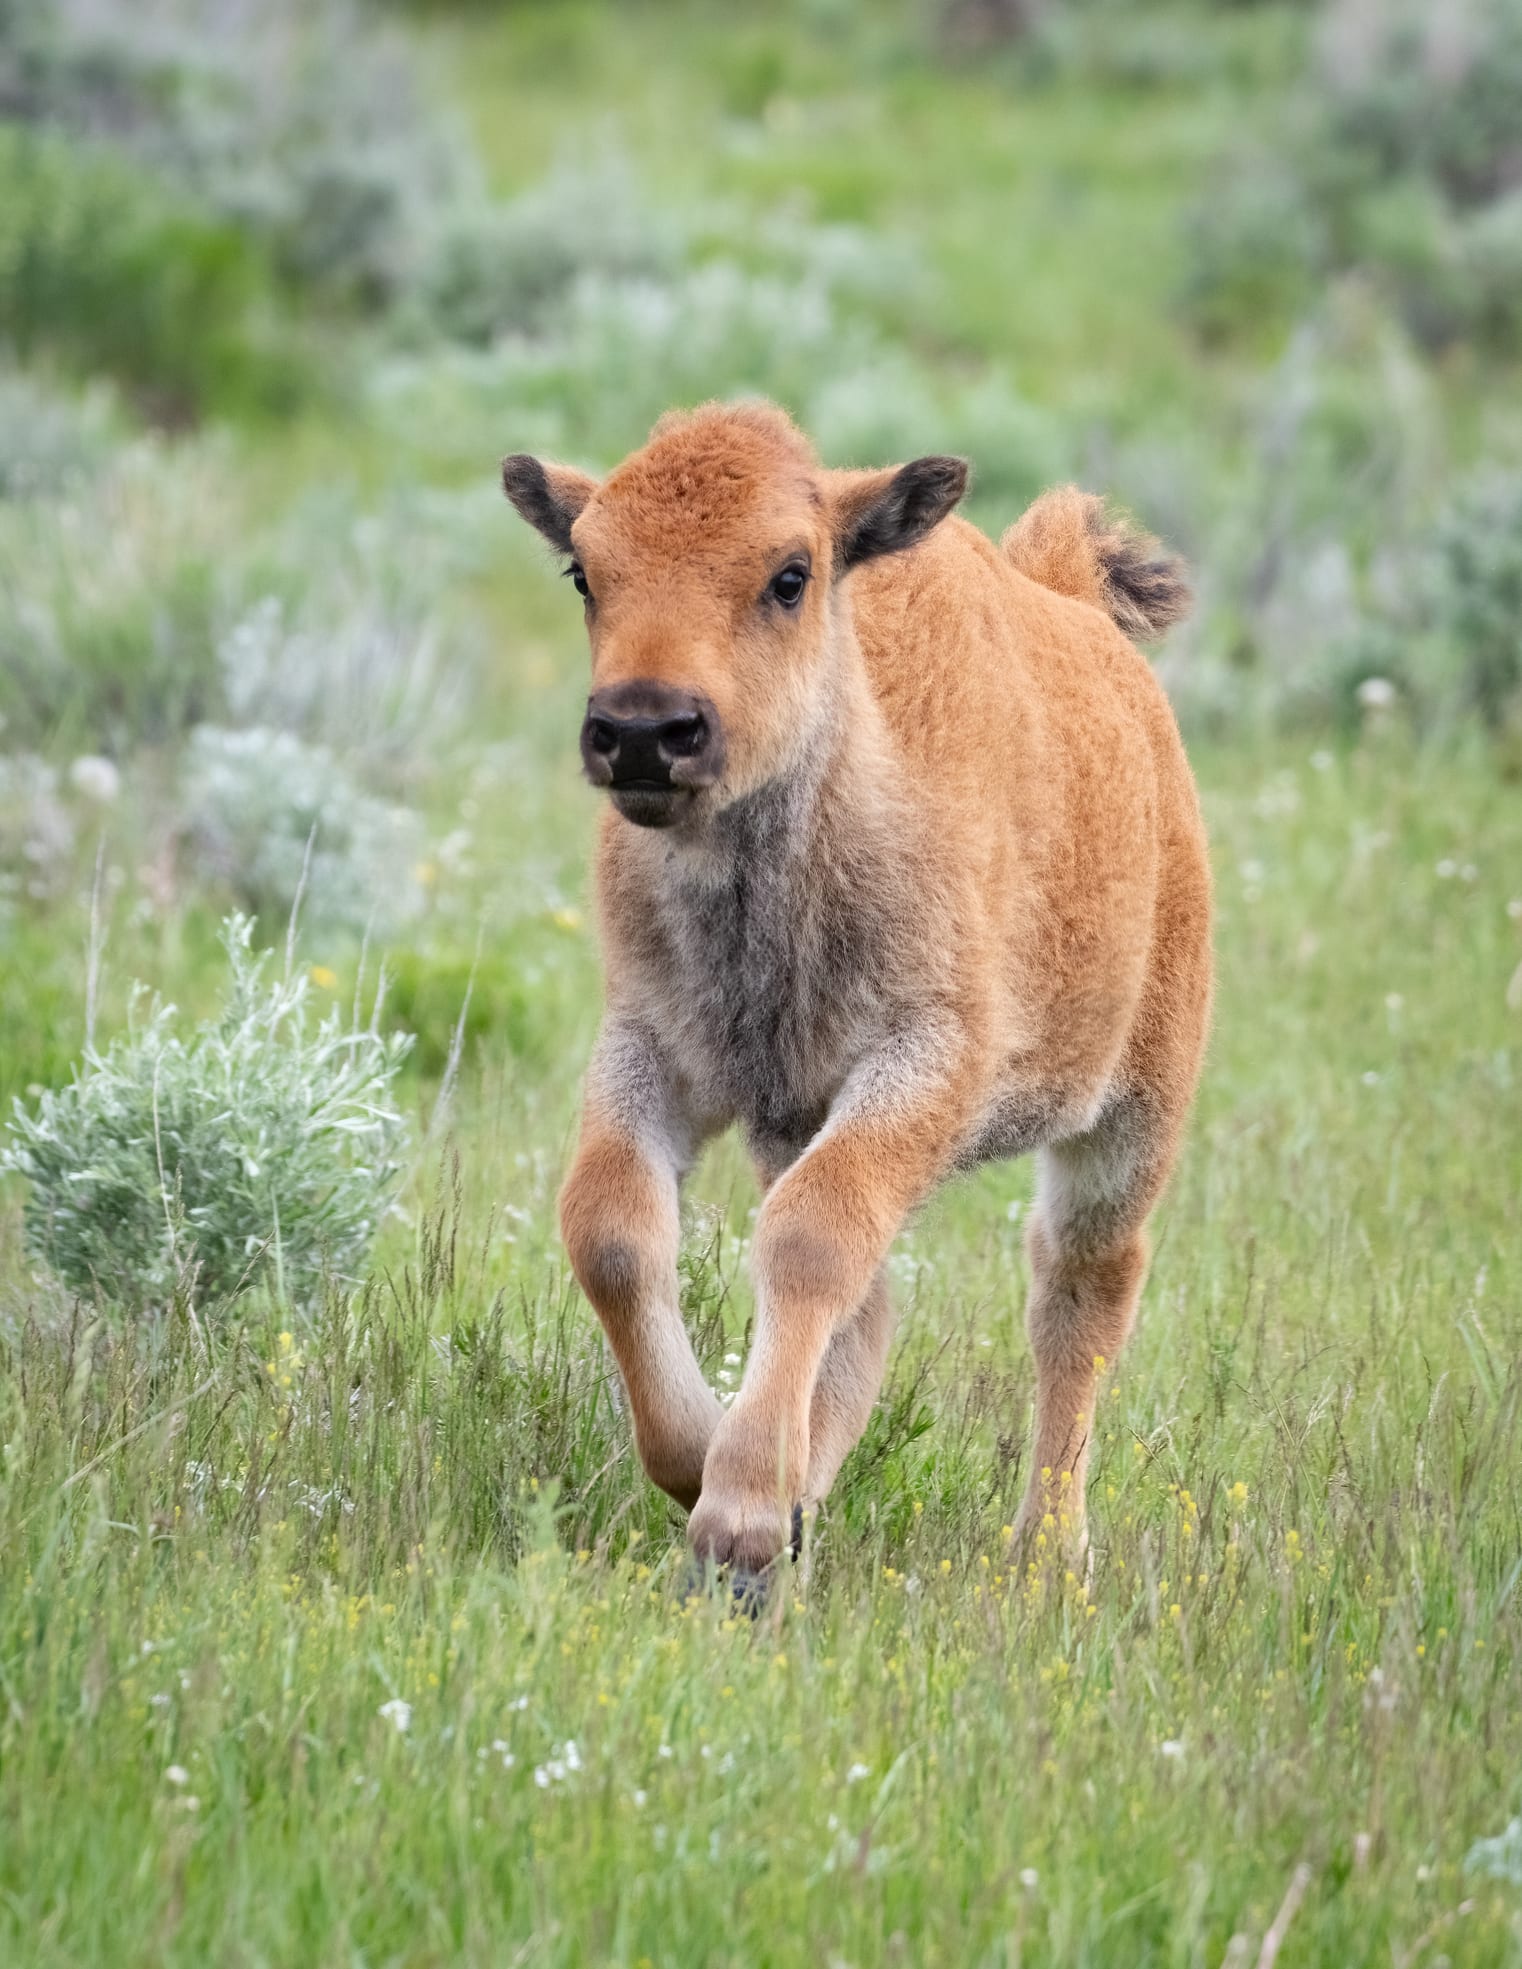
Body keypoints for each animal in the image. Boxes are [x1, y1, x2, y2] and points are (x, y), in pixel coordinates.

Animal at [498, 403, 1212, 1583]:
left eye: (791, 575)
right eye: (582, 571)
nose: (643, 729)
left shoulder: (926, 1062)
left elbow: (808, 1238)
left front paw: (741, 1506)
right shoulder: (657, 1048)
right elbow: (614, 1230)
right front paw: (709, 1468)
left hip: (1135, 1111)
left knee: (1080, 1289)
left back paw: (1046, 1555)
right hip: (797, 1118)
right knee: (870, 1309)